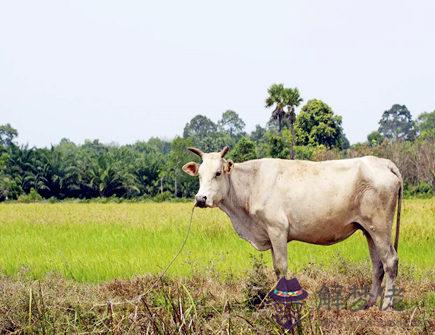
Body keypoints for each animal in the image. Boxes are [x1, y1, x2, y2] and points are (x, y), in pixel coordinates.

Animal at [182, 148, 404, 312]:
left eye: (218, 173)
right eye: (199, 175)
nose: (200, 199)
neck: (250, 185)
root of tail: (383, 162)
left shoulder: (277, 229)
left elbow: (281, 267)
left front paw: (284, 302)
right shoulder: (269, 234)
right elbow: (275, 268)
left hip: (380, 227)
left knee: (390, 261)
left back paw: (386, 306)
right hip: (368, 229)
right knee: (377, 265)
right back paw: (369, 304)